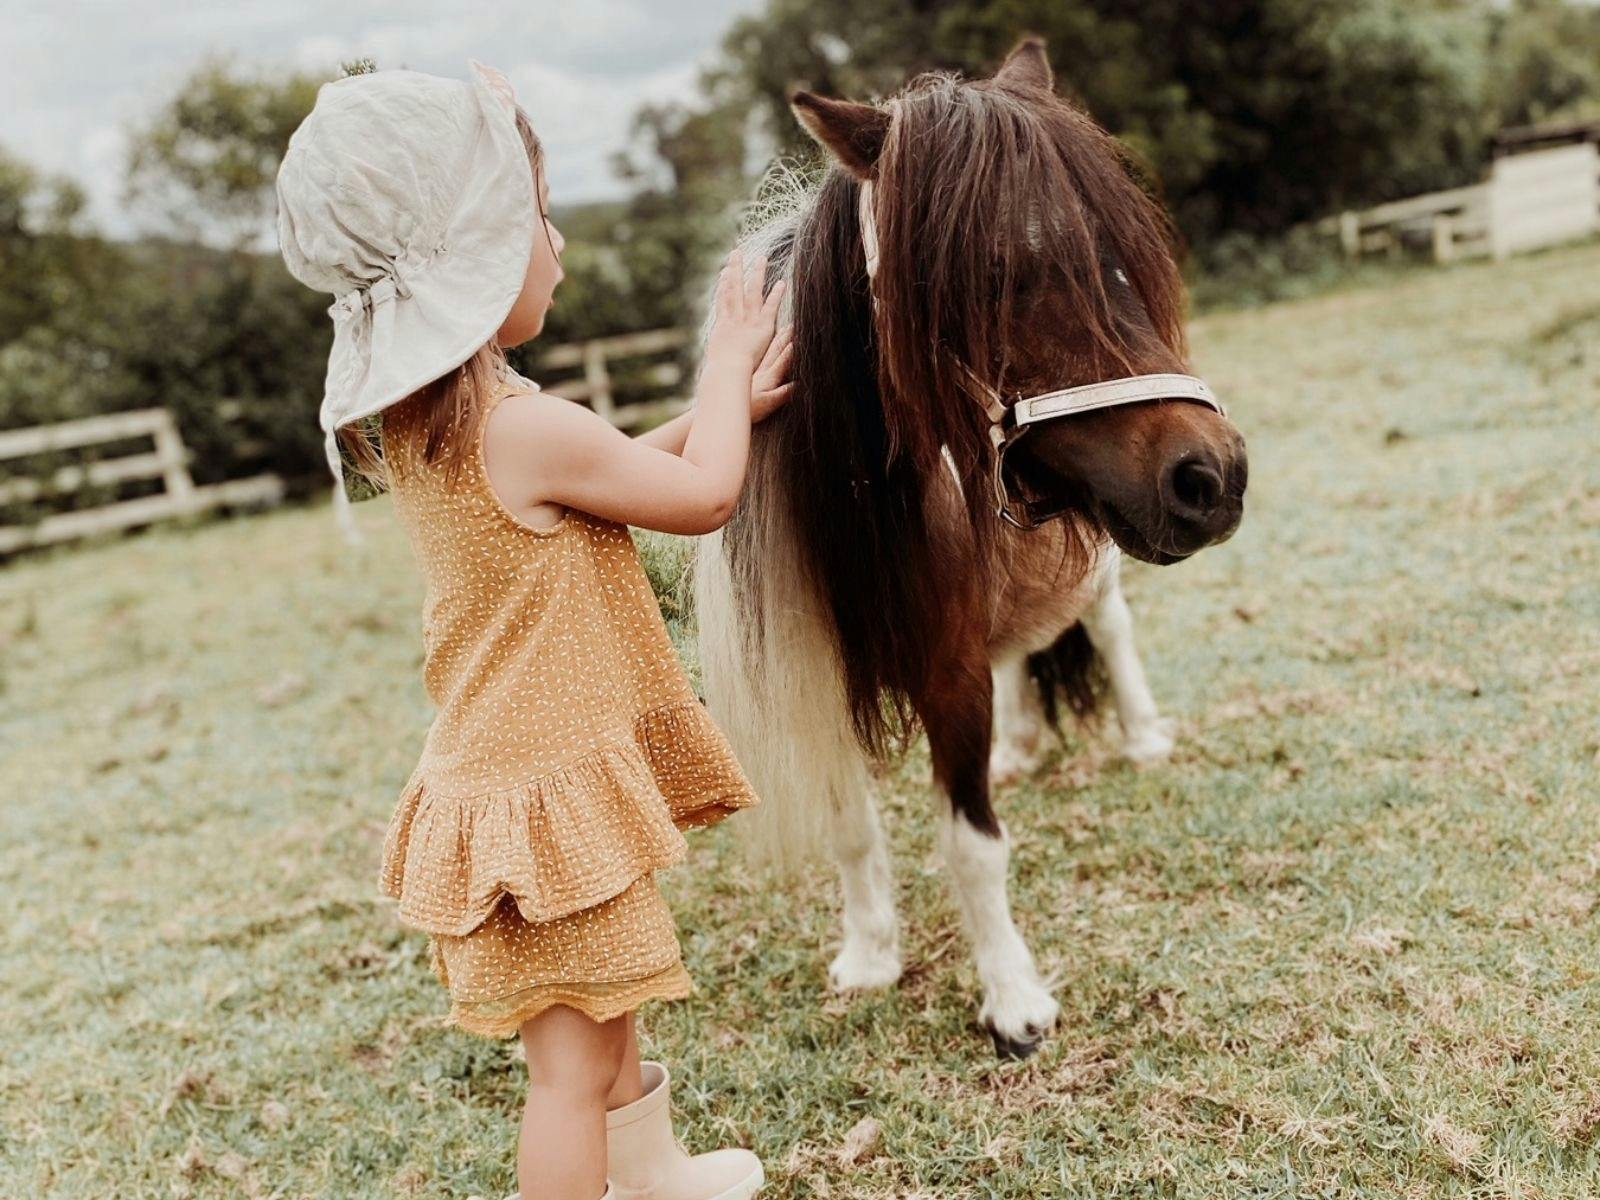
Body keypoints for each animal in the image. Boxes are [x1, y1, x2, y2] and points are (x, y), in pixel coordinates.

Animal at [693, 37, 1248, 1059]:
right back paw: (1021, 749)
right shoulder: (824, 672)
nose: (1213, 476)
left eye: (1121, 258)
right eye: (993, 271)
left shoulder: (948, 677)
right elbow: (851, 825)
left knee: (1105, 630)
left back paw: (1141, 735)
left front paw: (1012, 1000)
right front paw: (871, 954)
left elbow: (971, 843)